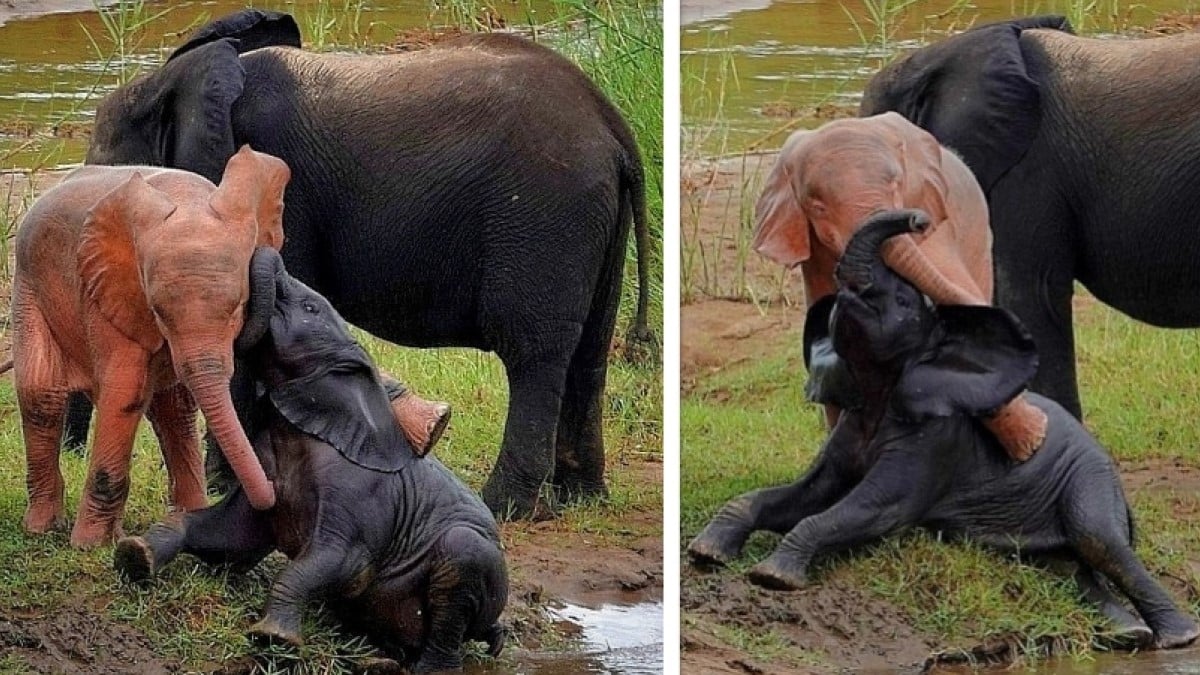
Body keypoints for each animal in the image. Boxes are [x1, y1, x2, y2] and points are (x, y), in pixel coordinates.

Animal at [82, 9, 657, 514]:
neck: (177, 77)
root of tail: (614, 129)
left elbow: (254, 327)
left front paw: (237, 486)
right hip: (591, 225)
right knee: (590, 350)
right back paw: (581, 497)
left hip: (545, 215)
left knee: (534, 353)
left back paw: (506, 507)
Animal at [113, 248, 506, 672]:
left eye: (310, 308)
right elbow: (229, 536)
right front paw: (134, 555)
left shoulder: (360, 495)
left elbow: (335, 562)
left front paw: (272, 639)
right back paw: (377, 660)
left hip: (474, 559)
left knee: (457, 578)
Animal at [691, 211, 1195, 653]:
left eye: (903, 302)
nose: (920, 220)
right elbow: (805, 494)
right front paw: (706, 553)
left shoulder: (936, 440)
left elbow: (872, 508)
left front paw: (772, 577)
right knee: (1068, 567)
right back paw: (1129, 636)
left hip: (1089, 478)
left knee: (1099, 540)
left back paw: (1176, 639)